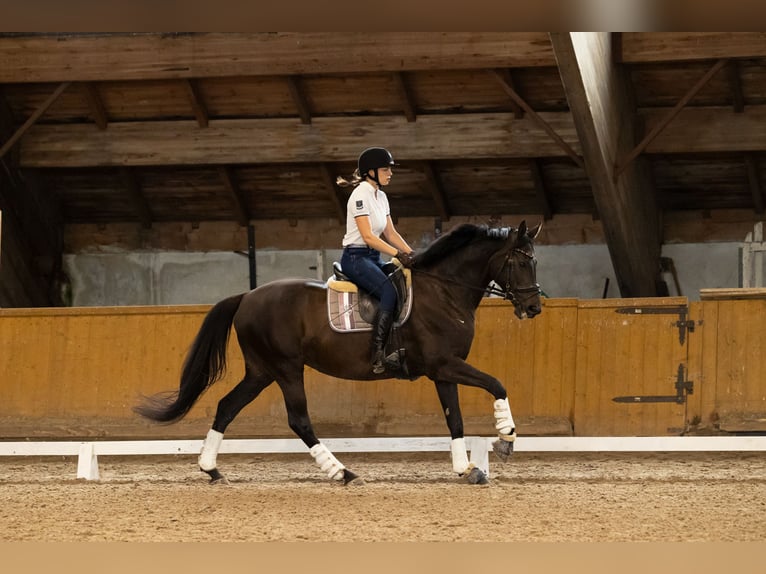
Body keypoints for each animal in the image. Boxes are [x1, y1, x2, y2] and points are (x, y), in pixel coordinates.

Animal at [136, 220, 544, 486]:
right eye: (521, 261)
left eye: (534, 260)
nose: (533, 308)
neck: (444, 291)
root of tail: (247, 296)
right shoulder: (445, 364)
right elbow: (497, 384)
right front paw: (505, 440)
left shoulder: (443, 370)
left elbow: (454, 419)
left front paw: (466, 469)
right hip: (286, 368)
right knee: (299, 420)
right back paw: (342, 472)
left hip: (261, 370)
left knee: (226, 407)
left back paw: (211, 469)